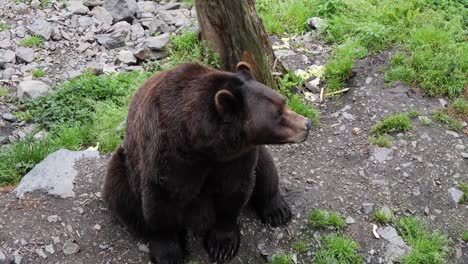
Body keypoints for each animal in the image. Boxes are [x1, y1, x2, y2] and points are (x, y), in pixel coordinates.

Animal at [102, 61, 310, 262]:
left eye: (283, 101)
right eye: (278, 114)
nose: (307, 123)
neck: (202, 144)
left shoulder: (235, 156)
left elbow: (233, 190)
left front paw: (222, 245)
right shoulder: (167, 155)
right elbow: (161, 201)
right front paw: (169, 253)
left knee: (266, 169)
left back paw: (277, 210)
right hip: (125, 165)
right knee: (121, 194)